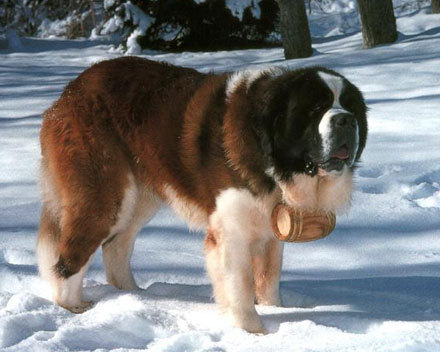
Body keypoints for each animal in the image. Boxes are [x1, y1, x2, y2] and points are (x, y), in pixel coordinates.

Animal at [38, 56, 368, 334]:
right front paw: (254, 333)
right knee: (70, 256)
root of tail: (69, 93)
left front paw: (275, 311)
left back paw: (135, 295)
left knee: (116, 245)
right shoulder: (231, 232)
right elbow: (240, 285)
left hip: (140, 198)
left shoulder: (270, 230)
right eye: (315, 109)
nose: (345, 120)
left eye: (350, 107)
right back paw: (73, 306)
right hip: (106, 196)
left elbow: (269, 277)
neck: (271, 158)